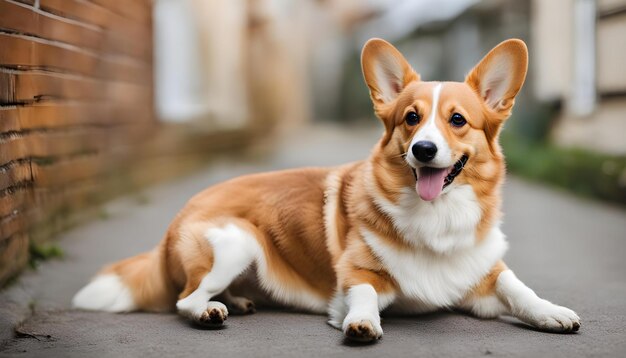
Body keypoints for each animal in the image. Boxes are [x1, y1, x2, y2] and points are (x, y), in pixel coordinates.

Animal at [74, 38, 580, 342]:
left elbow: (517, 287)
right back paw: (210, 311)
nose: (423, 149)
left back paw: (237, 301)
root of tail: (171, 227)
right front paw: (361, 322)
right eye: (411, 118)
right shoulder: (358, 274)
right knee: (186, 299)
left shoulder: (482, 275)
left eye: (458, 119)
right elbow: (365, 294)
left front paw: (552, 312)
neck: (436, 217)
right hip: (237, 241)